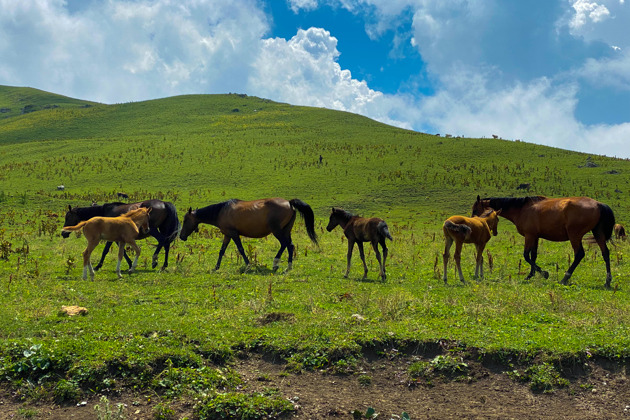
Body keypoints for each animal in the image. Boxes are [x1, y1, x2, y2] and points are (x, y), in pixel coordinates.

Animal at [179, 198, 318, 272]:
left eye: (185, 220)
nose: (181, 236)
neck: (222, 211)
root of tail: (289, 203)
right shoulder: (227, 235)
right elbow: (221, 251)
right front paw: (216, 267)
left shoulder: (234, 234)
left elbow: (241, 249)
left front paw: (248, 265)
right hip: (285, 231)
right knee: (290, 246)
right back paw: (288, 266)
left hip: (278, 231)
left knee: (284, 244)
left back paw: (275, 263)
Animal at [474, 195, 616, 288]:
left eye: (475, 209)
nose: (475, 221)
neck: (522, 209)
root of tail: (598, 204)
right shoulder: (535, 237)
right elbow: (533, 256)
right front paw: (530, 275)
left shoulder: (529, 236)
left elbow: (526, 255)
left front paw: (543, 273)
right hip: (598, 233)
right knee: (605, 253)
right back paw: (607, 280)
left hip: (574, 235)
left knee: (579, 254)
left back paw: (565, 277)